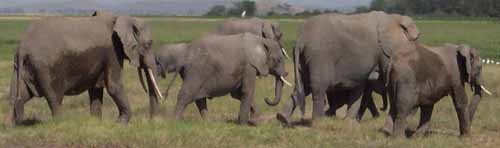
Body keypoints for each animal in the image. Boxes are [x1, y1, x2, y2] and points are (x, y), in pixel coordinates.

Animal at [2, 10, 163, 126]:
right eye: (149, 44)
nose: (151, 122)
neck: (120, 18)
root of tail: (23, 46)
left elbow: (96, 89)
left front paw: (95, 123)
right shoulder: (112, 52)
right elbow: (114, 86)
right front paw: (120, 124)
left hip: (20, 66)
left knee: (19, 95)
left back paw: (11, 125)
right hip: (45, 67)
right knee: (54, 96)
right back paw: (61, 123)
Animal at [276, 11, 420, 126]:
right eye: (416, 40)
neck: (394, 18)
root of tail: (301, 39)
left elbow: (359, 88)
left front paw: (350, 123)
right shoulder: (385, 51)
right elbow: (386, 77)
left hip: (304, 58)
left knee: (303, 86)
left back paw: (283, 118)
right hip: (320, 56)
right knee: (318, 87)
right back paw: (319, 123)